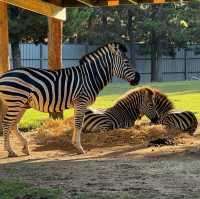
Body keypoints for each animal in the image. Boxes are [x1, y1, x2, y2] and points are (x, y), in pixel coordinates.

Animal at [0, 42, 141, 157]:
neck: (90, 77)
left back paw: (24, 147)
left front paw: (76, 145)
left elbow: (76, 123)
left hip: (22, 104)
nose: (138, 78)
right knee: (6, 123)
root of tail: (4, 75)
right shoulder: (81, 101)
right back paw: (11, 151)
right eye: (126, 62)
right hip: (16, 102)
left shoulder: (78, 103)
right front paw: (79, 148)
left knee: (13, 124)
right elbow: (78, 124)